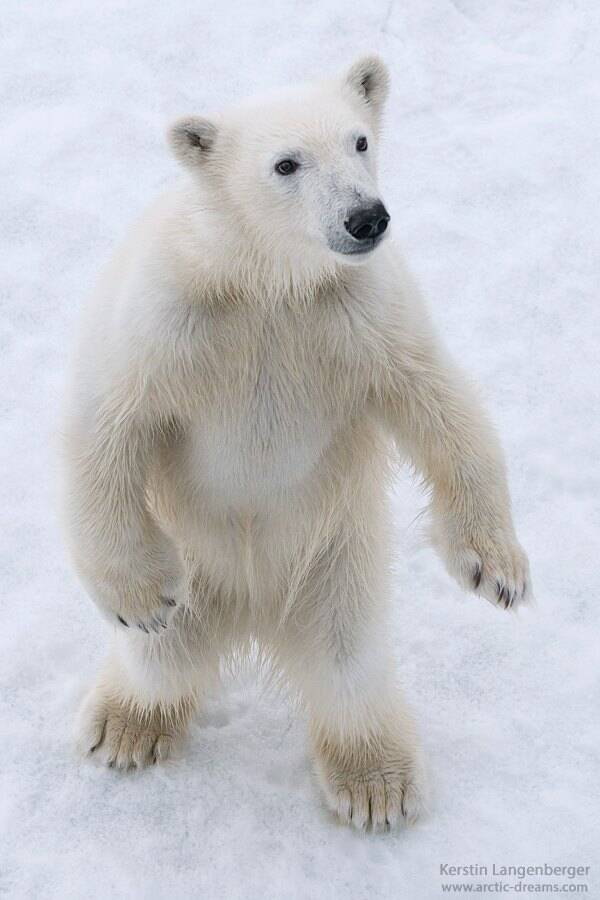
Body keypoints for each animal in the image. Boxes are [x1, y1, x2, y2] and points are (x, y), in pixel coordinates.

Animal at [65, 54, 532, 828]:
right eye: (286, 163)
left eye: (359, 141)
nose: (366, 216)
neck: (267, 281)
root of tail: (250, 613)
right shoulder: (172, 313)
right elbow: (108, 423)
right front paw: (141, 595)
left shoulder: (360, 314)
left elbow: (439, 400)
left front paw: (497, 570)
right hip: (205, 561)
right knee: (162, 655)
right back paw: (125, 727)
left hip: (335, 557)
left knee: (349, 657)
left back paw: (375, 782)